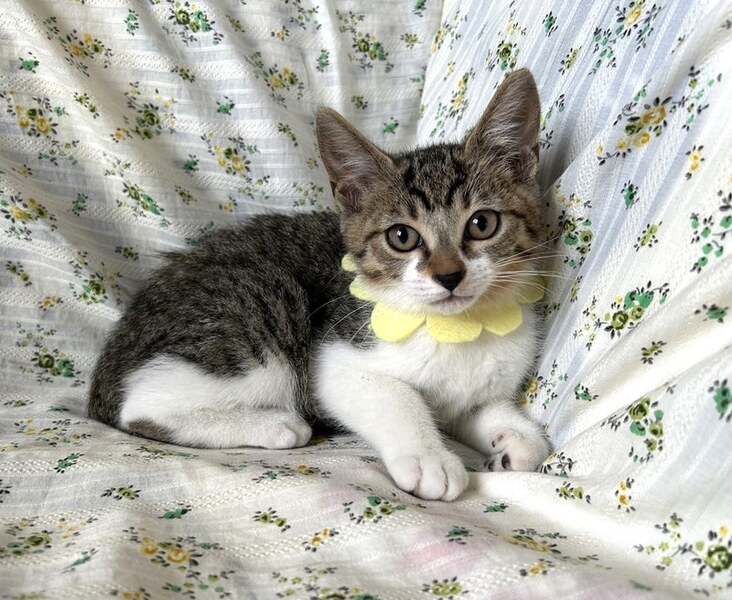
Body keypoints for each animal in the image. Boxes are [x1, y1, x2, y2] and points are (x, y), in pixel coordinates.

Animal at [88, 68, 550, 501]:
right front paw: (429, 457)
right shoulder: (332, 357)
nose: (449, 276)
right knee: (140, 408)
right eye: (402, 236)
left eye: (482, 223)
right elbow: (396, 396)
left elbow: (493, 420)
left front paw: (514, 441)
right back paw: (275, 425)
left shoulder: (467, 394)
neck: (457, 328)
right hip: (264, 309)